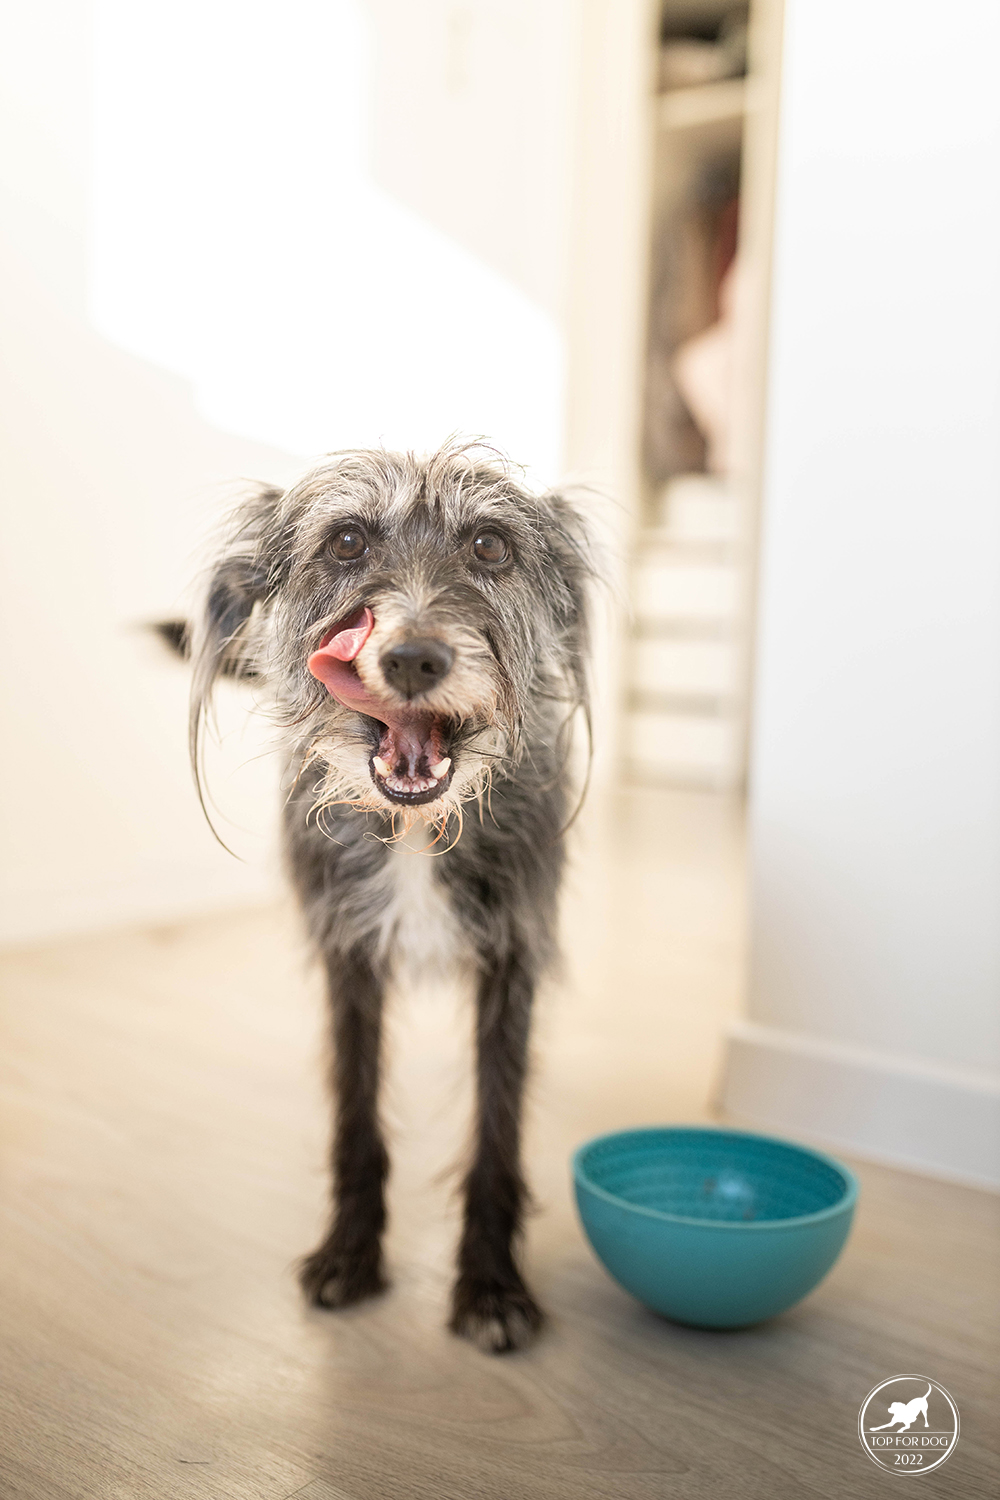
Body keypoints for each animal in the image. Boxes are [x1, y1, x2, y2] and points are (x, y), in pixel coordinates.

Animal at [182, 440, 593, 1352]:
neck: (416, 831)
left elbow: (496, 1130)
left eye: (489, 546)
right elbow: (356, 1114)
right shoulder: (349, 959)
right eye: (345, 541)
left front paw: (490, 1285)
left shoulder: (513, 961)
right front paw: (349, 1253)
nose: (412, 658)